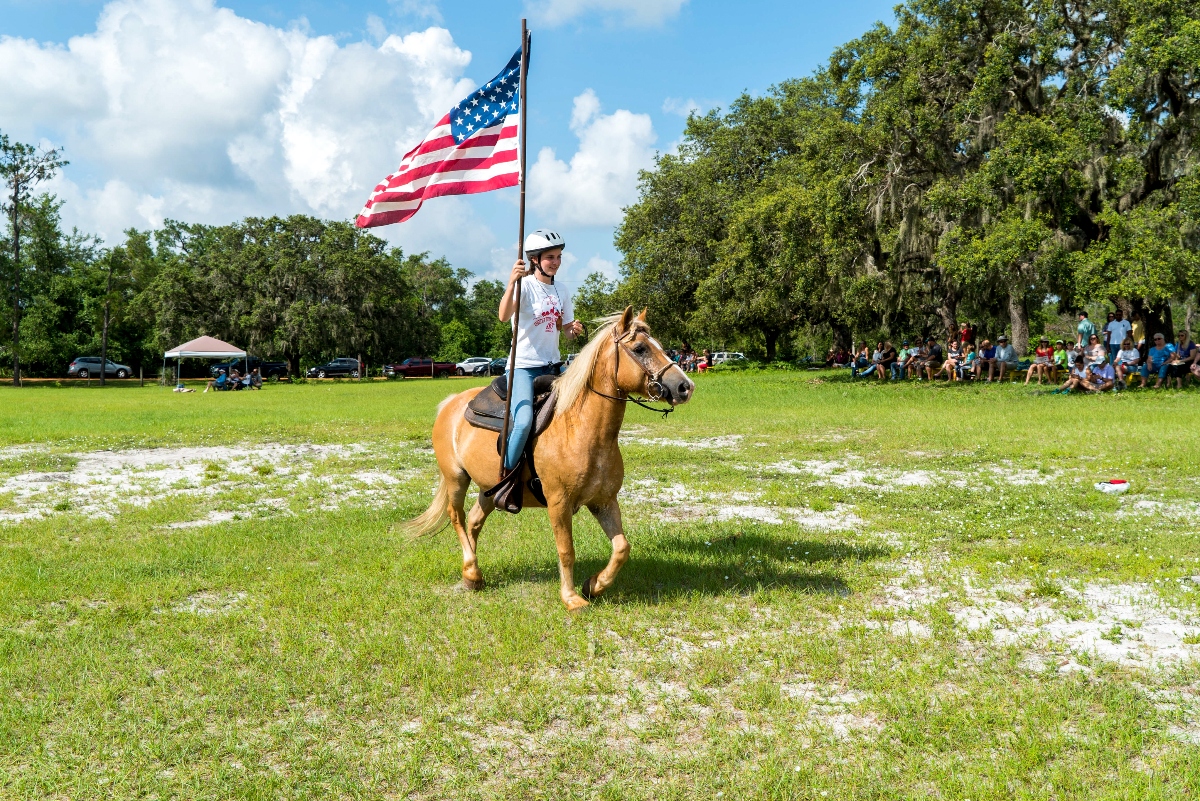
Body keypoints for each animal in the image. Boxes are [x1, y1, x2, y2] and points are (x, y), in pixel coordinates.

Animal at [408, 309, 696, 609]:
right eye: (640, 348)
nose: (685, 387)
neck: (579, 428)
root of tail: (451, 402)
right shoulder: (559, 503)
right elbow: (566, 549)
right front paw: (571, 598)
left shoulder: (604, 501)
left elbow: (621, 548)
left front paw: (594, 585)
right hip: (456, 478)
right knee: (457, 517)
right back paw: (472, 569)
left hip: (489, 488)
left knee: (474, 521)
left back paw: (471, 575)